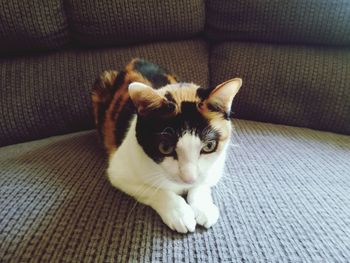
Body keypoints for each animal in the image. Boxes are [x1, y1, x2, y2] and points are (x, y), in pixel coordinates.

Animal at [91, 58, 242, 234]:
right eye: (165, 148)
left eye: (209, 146)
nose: (189, 178)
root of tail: (135, 60)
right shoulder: (118, 172)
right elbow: (155, 190)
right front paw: (179, 213)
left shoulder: (215, 168)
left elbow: (202, 183)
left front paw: (204, 208)